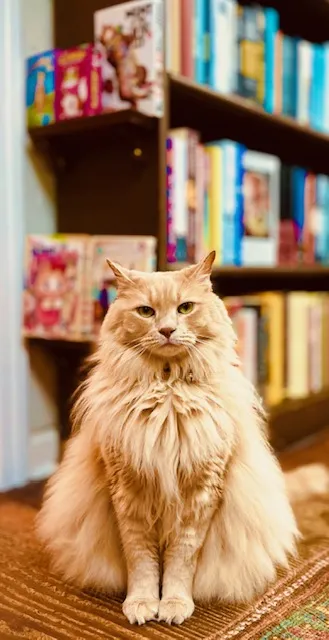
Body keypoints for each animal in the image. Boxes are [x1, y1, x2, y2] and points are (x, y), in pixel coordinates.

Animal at [37, 254, 298, 624]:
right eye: (146, 312)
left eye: (185, 308)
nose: (167, 330)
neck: (167, 390)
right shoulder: (128, 493)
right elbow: (142, 561)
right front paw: (142, 603)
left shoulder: (199, 494)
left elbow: (180, 561)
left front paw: (174, 603)